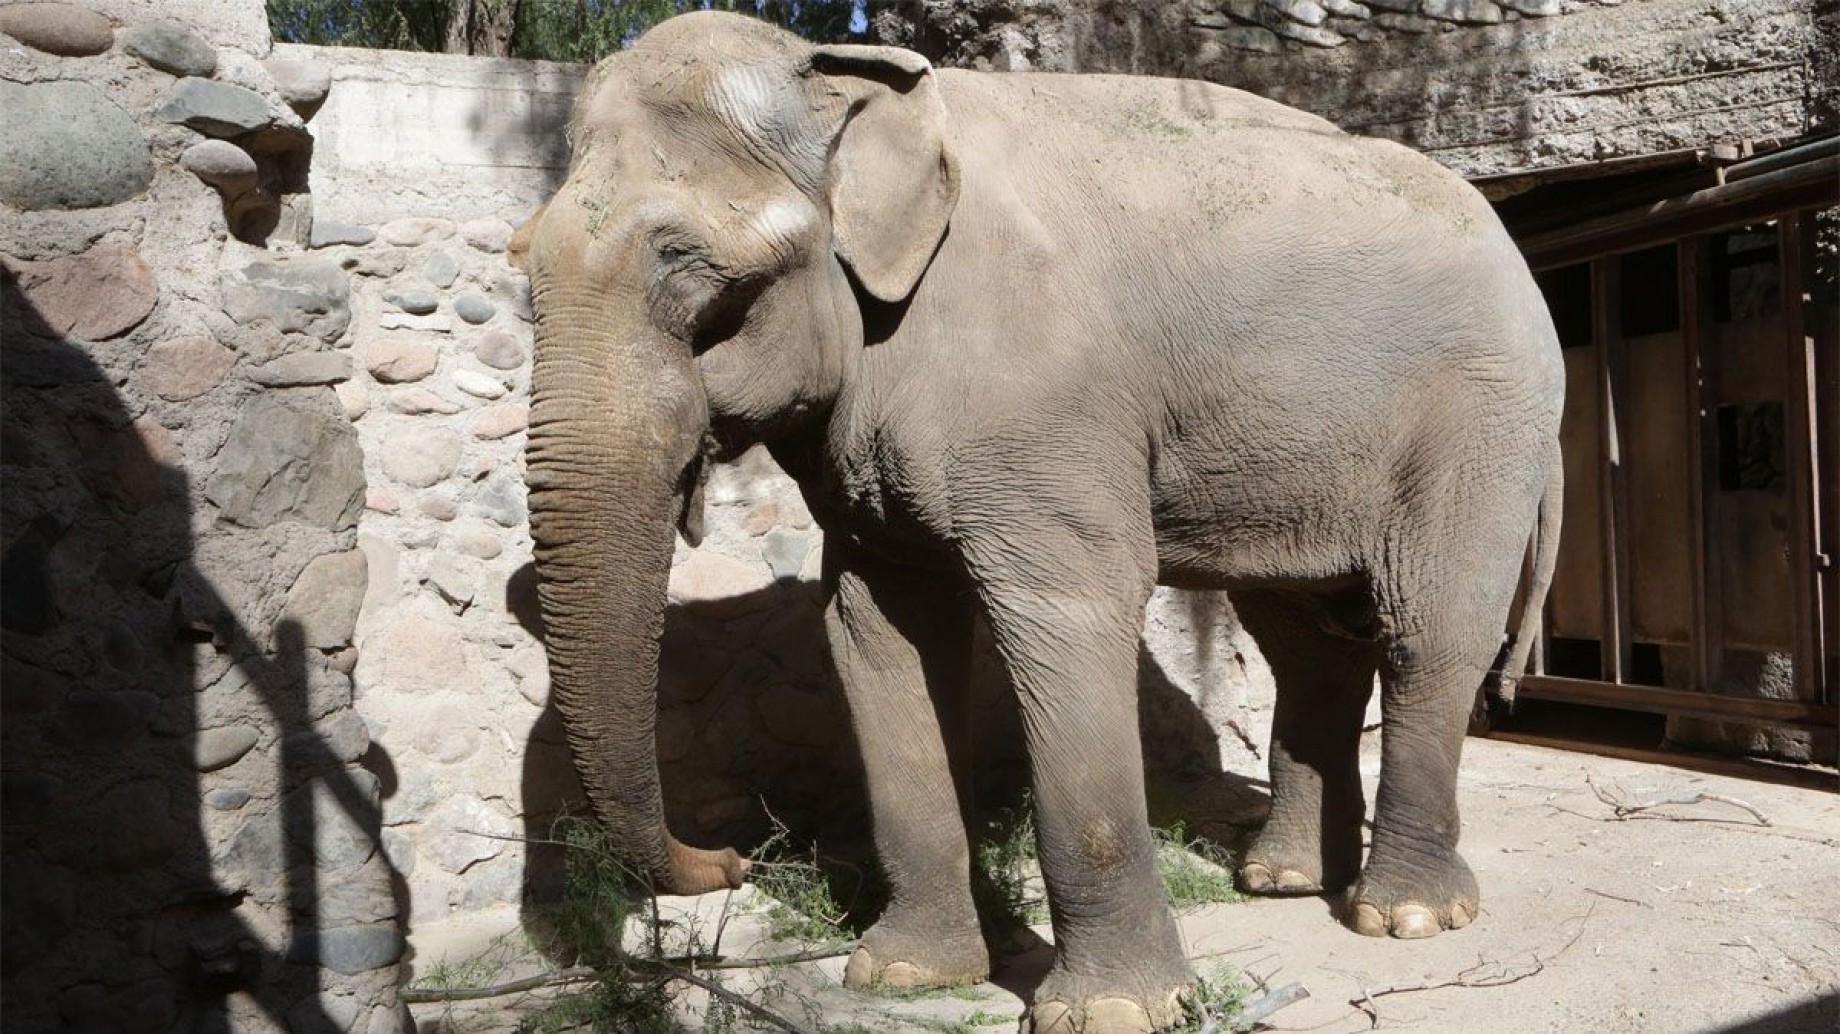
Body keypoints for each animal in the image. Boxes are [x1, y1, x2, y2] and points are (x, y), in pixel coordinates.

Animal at [510, 11, 1564, 1033]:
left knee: (1428, 629)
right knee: (1308, 642)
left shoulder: (1048, 404)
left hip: (1481, 421)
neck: (853, 86)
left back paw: (1405, 915)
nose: (733, 860)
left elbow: (1066, 616)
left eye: (693, 272)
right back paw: (1284, 880)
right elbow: (875, 632)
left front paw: (1113, 1011)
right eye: (523, 263)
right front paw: (903, 976)